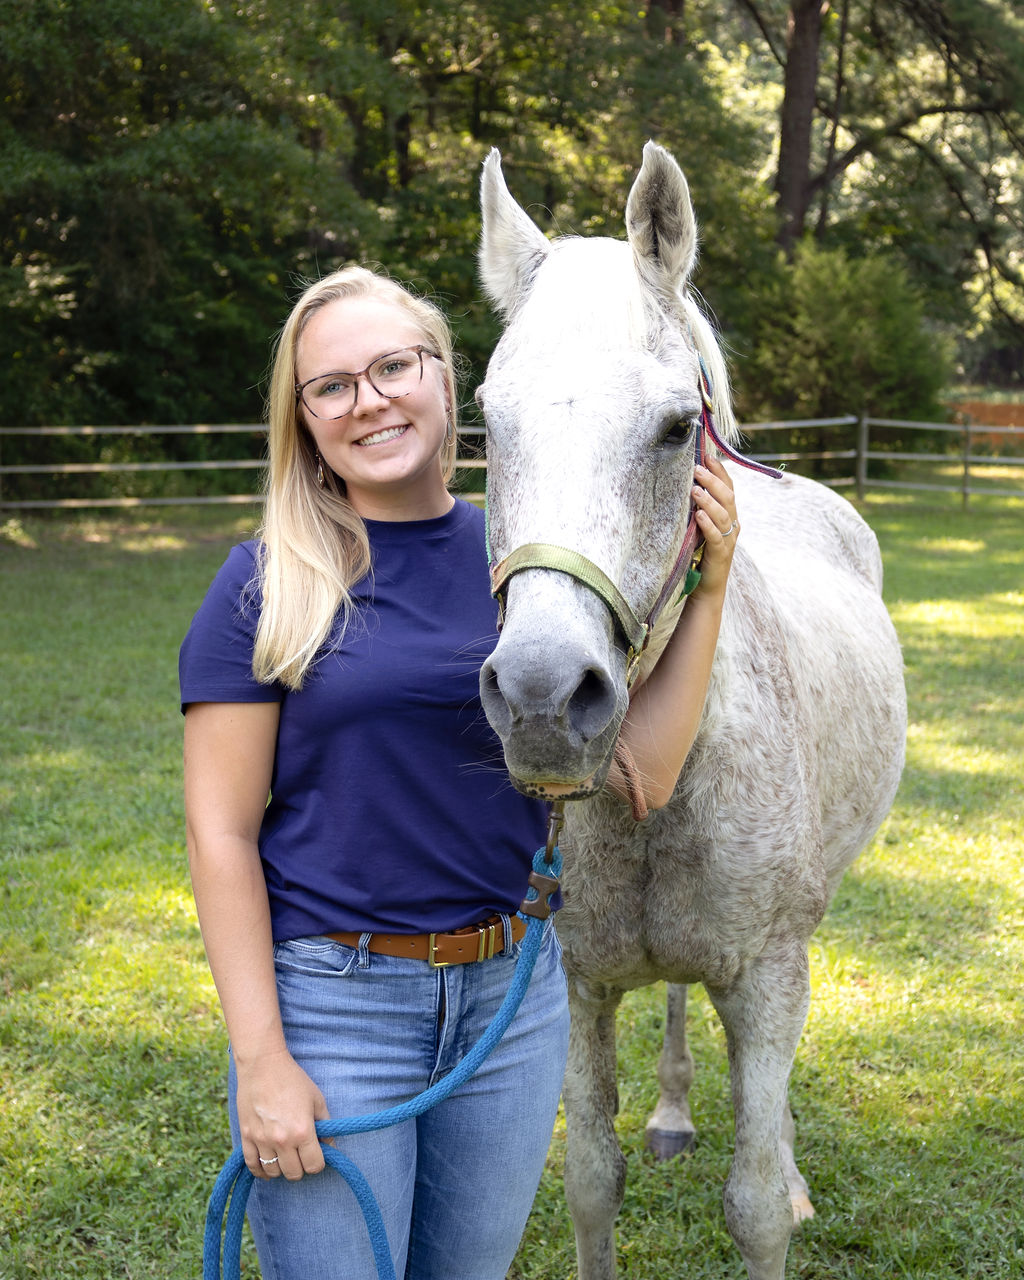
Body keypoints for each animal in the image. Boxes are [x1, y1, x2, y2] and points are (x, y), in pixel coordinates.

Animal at [474, 142, 907, 1280]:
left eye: (675, 429)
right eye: (486, 420)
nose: (542, 696)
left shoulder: (765, 977)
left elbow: (752, 1203)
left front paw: (779, 1183)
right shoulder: (579, 985)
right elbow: (591, 1178)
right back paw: (672, 1111)